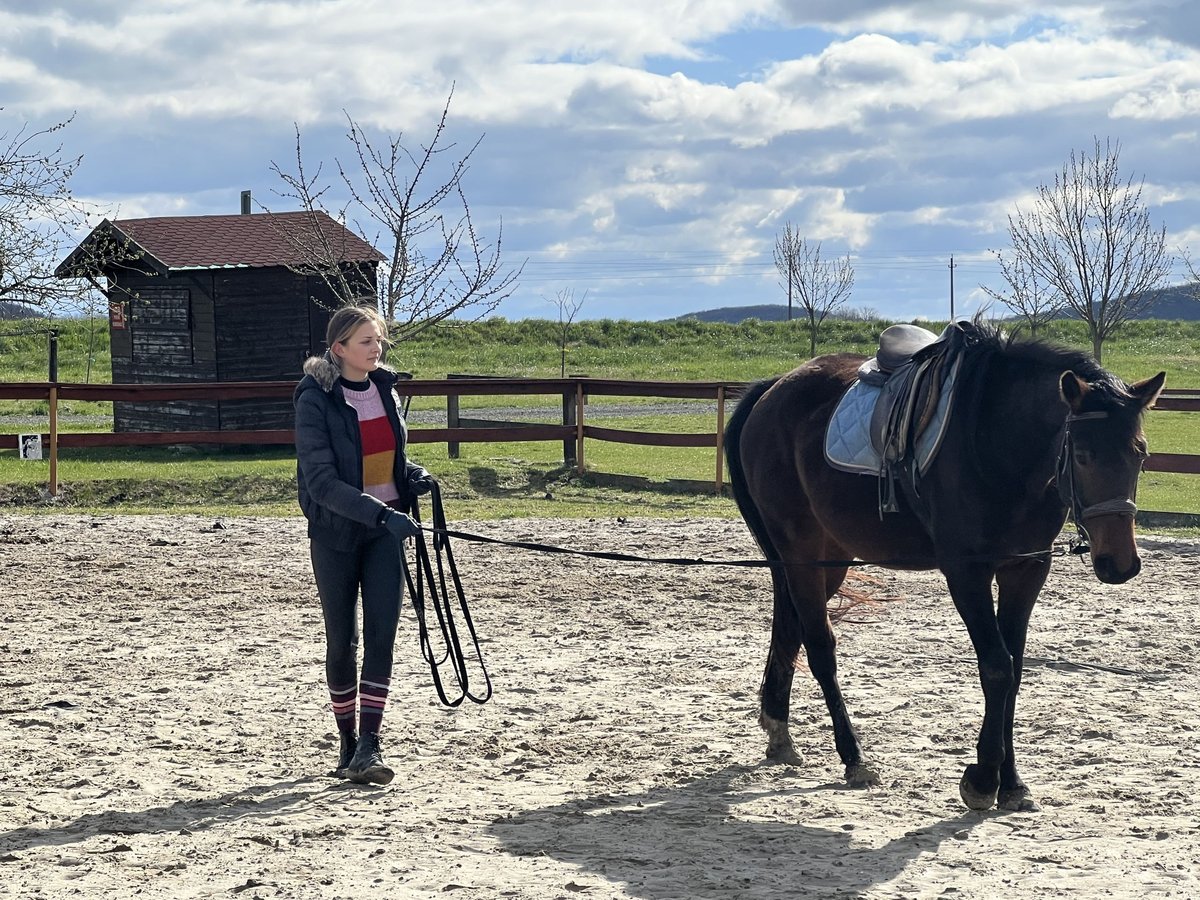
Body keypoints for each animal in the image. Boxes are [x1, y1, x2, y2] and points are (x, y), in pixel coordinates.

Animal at [724, 321, 1166, 811]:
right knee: (820, 646)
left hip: (826, 557)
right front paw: (983, 780)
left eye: (1140, 454)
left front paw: (1012, 783)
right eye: (1084, 455)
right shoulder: (966, 572)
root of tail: (773, 388)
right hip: (800, 552)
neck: (996, 440)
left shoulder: (1026, 569)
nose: (1119, 563)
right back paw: (853, 757)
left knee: (790, 628)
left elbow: (1014, 669)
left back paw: (779, 733)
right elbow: (997, 667)